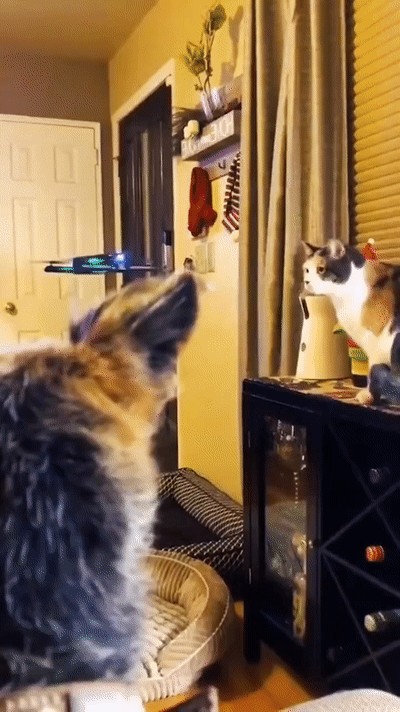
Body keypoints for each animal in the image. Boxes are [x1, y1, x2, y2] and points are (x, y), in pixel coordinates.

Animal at [302, 238, 400, 405]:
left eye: (321, 269)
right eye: (307, 270)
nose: (306, 281)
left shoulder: (378, 339)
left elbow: (372, 371)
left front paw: (369, 395)